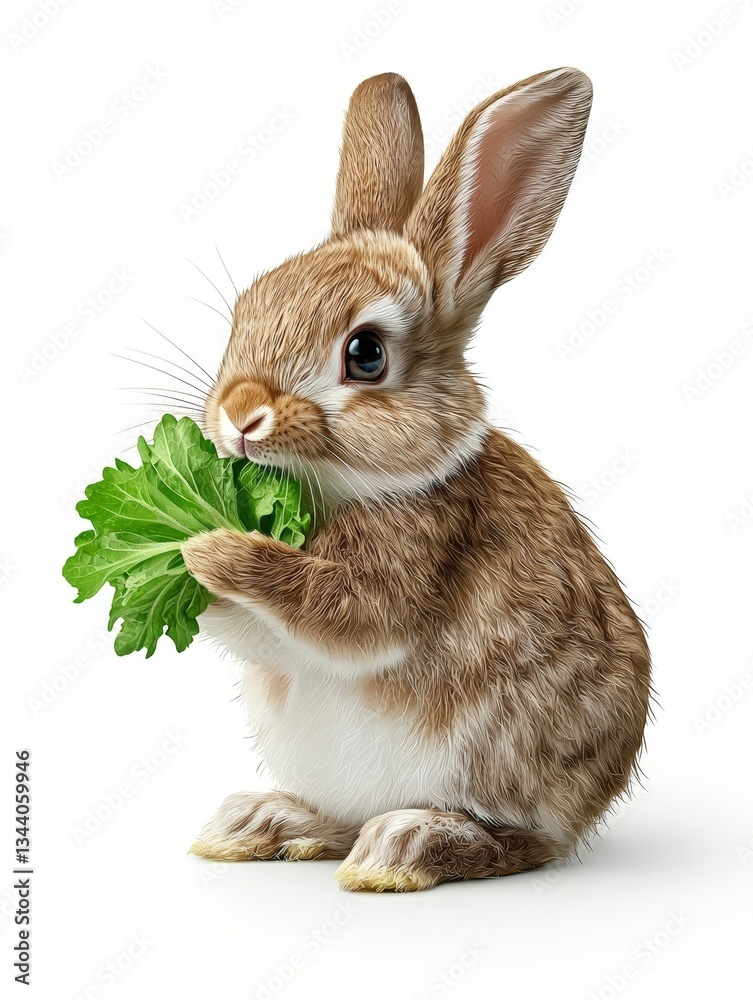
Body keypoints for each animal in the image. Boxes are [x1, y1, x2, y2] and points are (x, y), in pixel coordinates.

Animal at [182, 68, 651, 892]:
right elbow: (263, 639)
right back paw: (263, 822)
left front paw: (211, 552)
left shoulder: (412, 559)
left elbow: (343, 614)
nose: (237, 414)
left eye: (365, 354)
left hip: (506, 758)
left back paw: (405, 845)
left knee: (519, 844)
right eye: (247, 308)